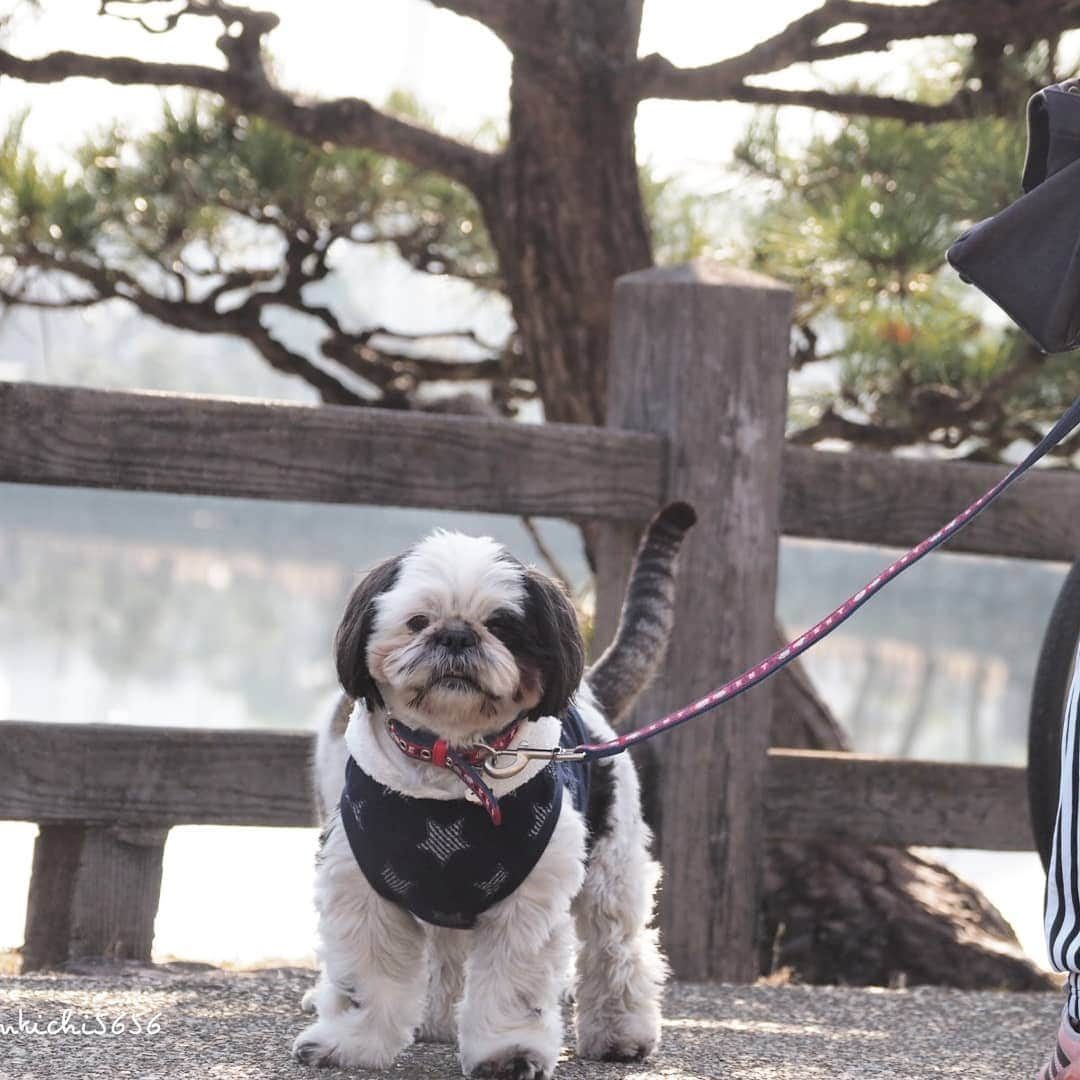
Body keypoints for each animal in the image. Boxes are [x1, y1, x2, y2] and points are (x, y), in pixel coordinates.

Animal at [291, 501, 695, 1075]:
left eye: (502, 627)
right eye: (418, 621)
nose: (457, 635)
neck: (452, 767)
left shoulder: (527, 899)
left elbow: (511, 983)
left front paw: (508, 1052)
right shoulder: (362, 887)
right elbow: (367, 975)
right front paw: (351, 1043)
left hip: (610, 870)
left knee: (616, 949)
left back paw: (620, 1033)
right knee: (445, 955)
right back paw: (436, 1019)